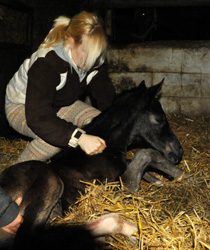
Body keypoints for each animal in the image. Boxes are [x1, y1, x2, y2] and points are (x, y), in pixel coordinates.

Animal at [0, 80, 184, 250]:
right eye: (159, 119)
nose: (179, 152)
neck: (104, 150)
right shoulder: (118, 190)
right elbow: (143, 156)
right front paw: (168, 177)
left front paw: (160, 179)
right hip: (51, 182)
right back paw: (124, 229)